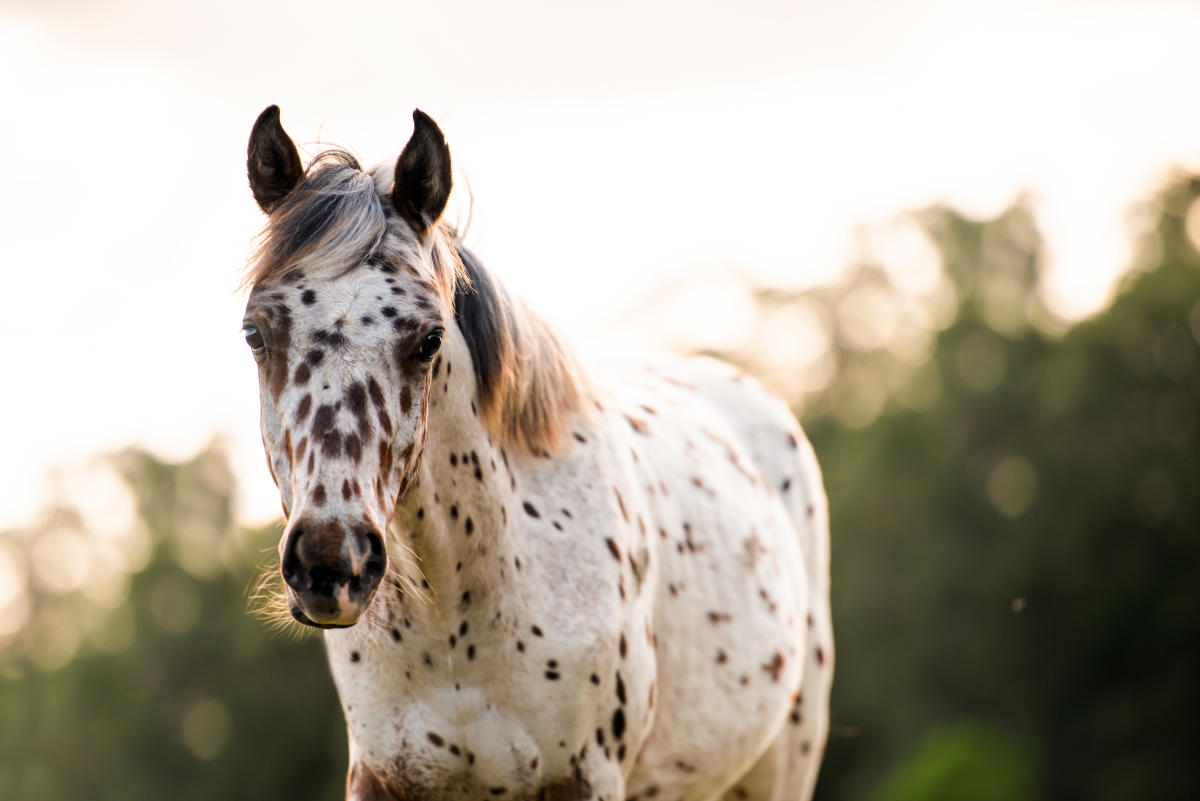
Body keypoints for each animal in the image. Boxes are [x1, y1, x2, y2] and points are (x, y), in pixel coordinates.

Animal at [238, 106, 830, 801]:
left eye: (429, 339)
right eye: (254, 333)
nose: (332, 563)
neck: (455, 629)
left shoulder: (587, 777)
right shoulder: (379, 779)